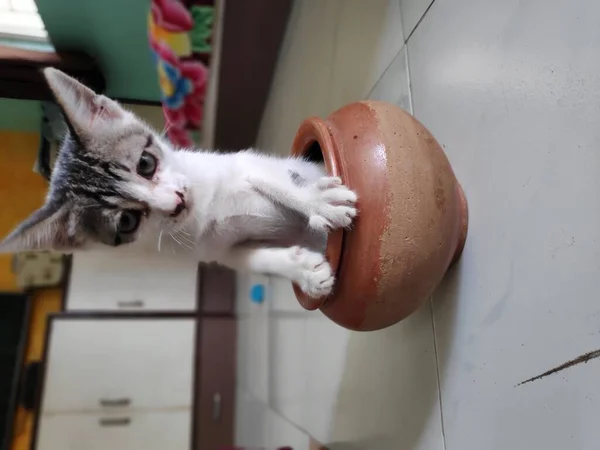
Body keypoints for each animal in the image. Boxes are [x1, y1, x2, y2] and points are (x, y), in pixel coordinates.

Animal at [0, 68, 356, 298]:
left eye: (146, 164)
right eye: (126, 221)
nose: (177, 202)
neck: (205, 211)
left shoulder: (245, 163)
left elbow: (277, 181)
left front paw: (316, 202)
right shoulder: (222, 252)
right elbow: (253, 258)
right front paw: (303, 272)